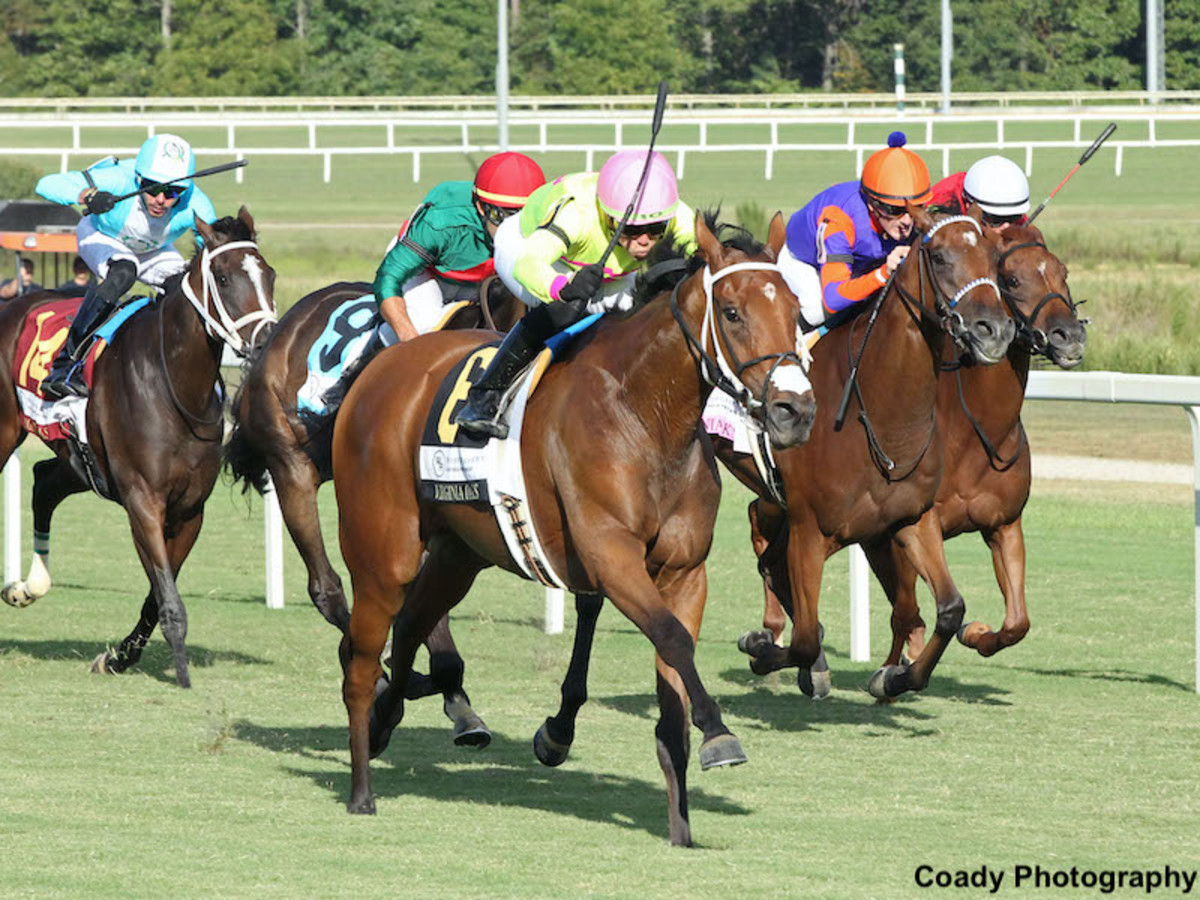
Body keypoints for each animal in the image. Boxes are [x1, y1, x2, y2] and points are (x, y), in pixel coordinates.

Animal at [0, 210, 274, 691]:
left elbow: (158, 594)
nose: (265, 342)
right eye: (223, 278)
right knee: (122, 267)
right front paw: (180, 673)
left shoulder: (189, 509)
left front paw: (119, 657)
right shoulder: (143, 501)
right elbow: (168, 597)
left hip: (79, 461)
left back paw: (27, 586)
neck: (174, 384)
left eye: (270, 275)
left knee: (44, 483)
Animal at [328, 213, 816, 844]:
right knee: (360, 659)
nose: (794, 411)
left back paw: (388, 721)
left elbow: (672, 683)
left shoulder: (684, 572)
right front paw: (720, 734)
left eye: (797, 310)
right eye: (731, 312)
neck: (646, 414)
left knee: (410, 624)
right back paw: (361, 789)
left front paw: (681, 825)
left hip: (460, 552)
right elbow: (674, 640)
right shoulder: (611, 555)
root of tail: (384, 367)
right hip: (383, 554)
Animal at [729, 207, 1012, 700]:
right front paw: (764, 649)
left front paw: (895, 676)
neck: (880, 412)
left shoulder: (911, 518)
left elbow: (949, 609)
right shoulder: (810, 528)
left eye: (996, 258)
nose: (993, 331)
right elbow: (805, 638)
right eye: (939, 257)